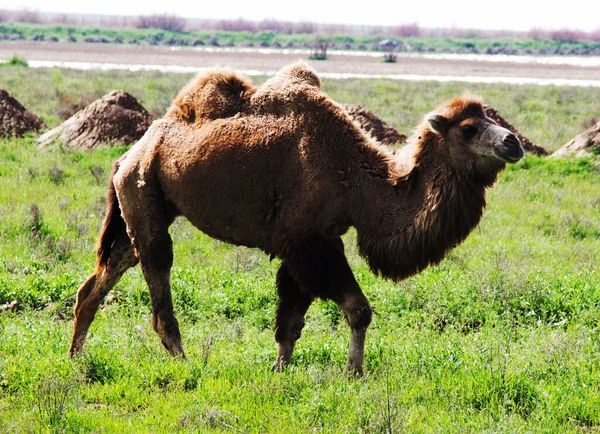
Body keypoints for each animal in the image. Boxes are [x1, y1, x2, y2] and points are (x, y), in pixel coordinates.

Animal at [68, 62, 524, 376]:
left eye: (492, 116)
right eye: (469, 128)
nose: (513, 142)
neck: (357, 180)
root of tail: (129, 154)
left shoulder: (306, 243)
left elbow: (291, 318)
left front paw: (280, 370)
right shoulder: (310, 241)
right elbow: (357, 309)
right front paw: (354, 373)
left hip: (142, 204)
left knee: (103, 276)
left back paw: (75, 356)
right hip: (144, 191)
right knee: (158, 274)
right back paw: (186, 363)